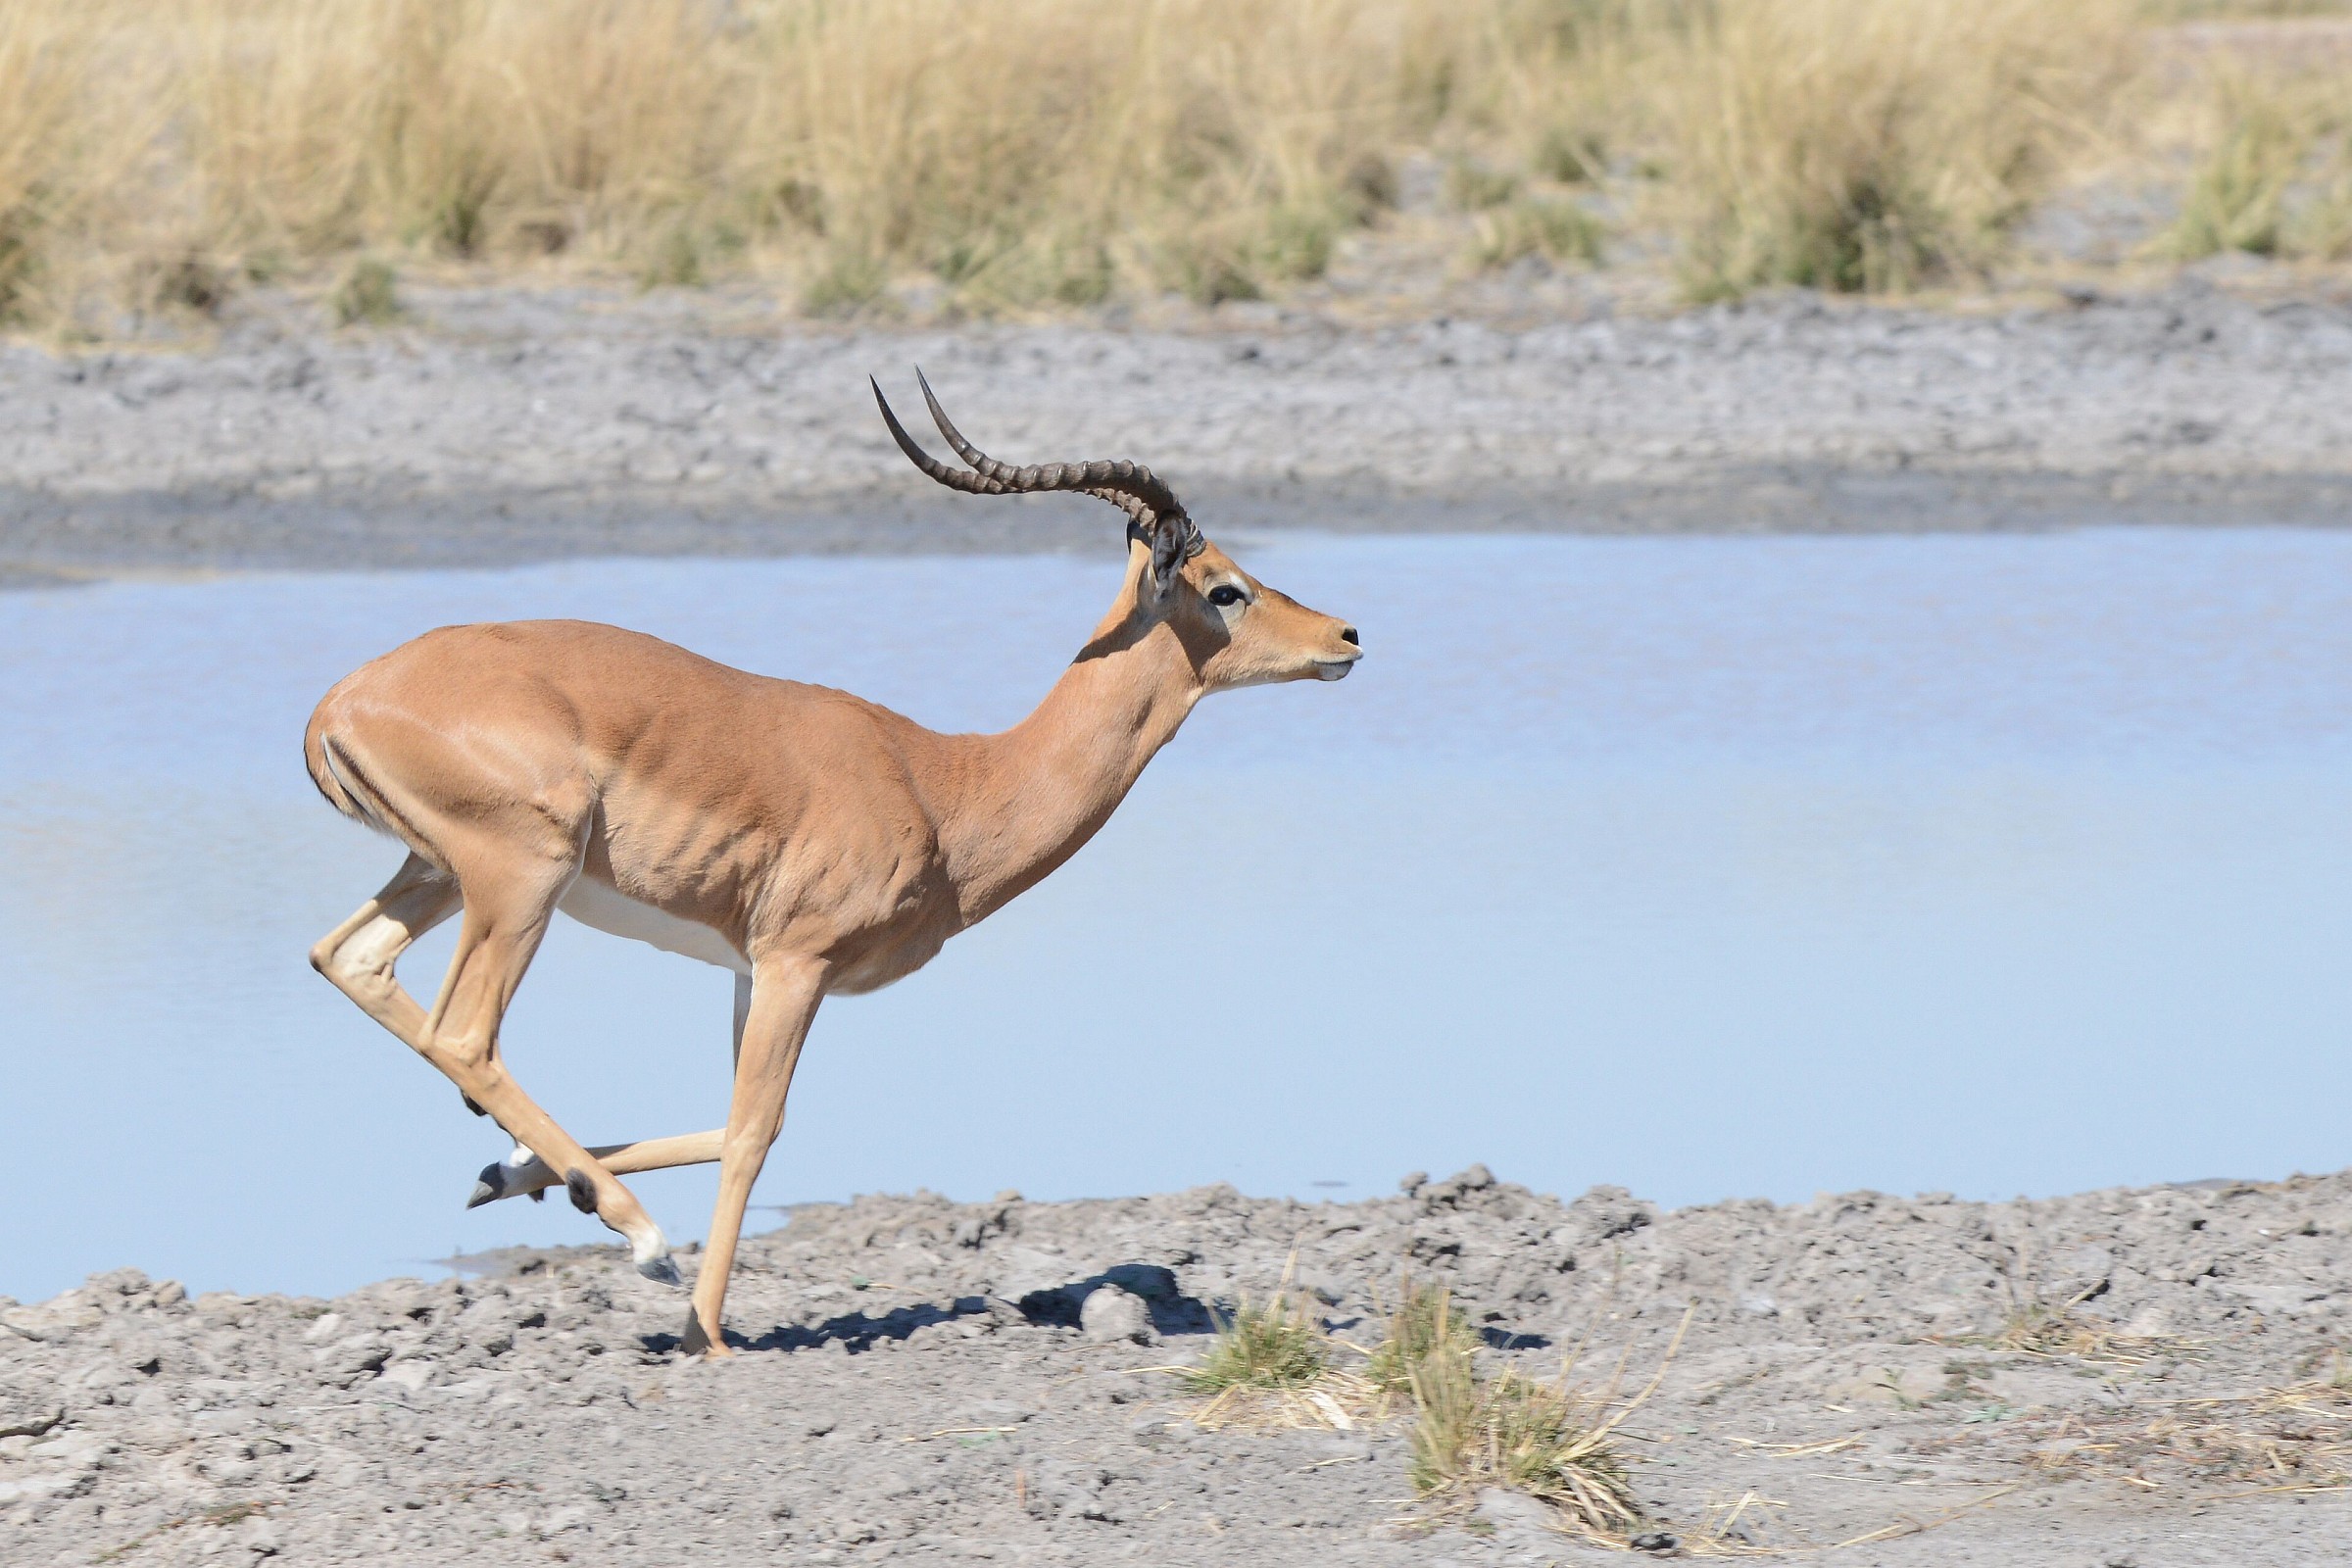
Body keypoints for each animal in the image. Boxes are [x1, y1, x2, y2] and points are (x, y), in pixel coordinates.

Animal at [304, 374, 1362, 1355]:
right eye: (1225, 587)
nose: (1346, 636)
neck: (948, 786)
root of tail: (337, 704)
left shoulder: (749, 967)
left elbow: (739, 1117)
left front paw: (510, 1178)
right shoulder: (798, 963)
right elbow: (754, 1132)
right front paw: (706, 1334)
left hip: (439, 875)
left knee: (349, 961)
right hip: (523, 880)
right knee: (462, 1034)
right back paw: (645, 1243)